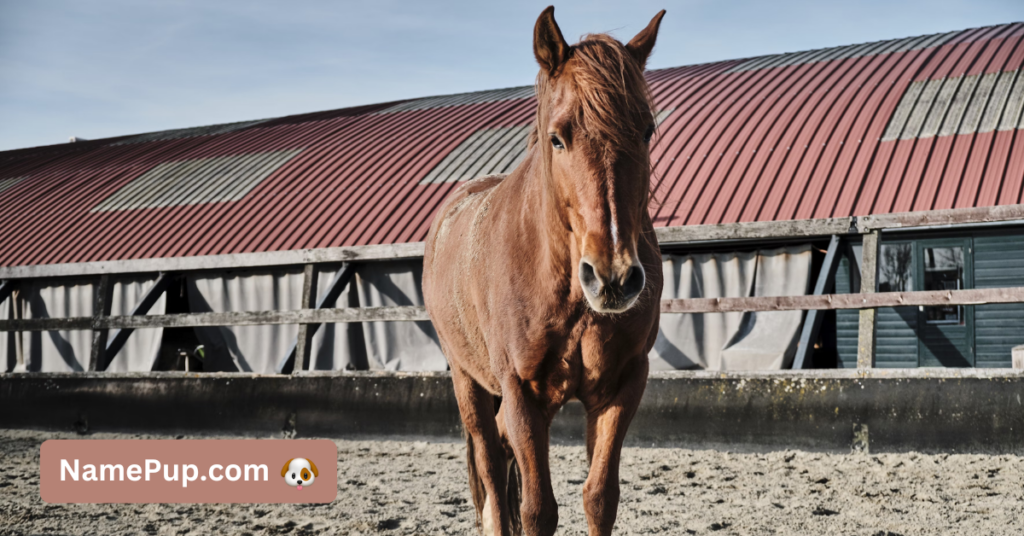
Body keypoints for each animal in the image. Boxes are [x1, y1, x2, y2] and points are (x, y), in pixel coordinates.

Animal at [421, 6, 663, 532]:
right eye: (557, 138)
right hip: (467, 381)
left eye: (647, 130)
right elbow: (536, 509)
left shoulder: (621, 386)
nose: (613, 277)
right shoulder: (520, 393)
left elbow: (599, 497)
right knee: (490, 463)